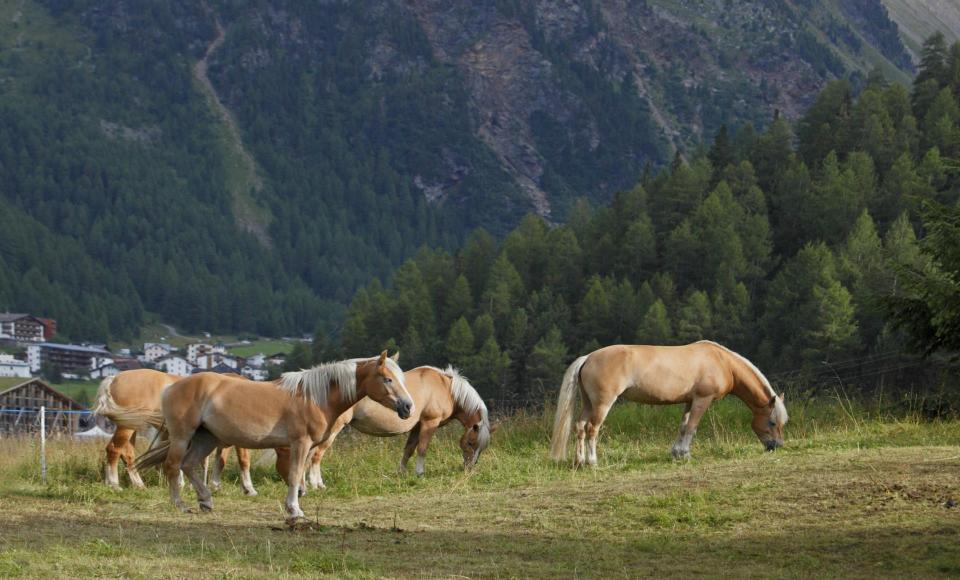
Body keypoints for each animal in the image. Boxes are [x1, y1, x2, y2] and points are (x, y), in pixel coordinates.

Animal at [93, 370, 258, 496]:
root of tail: (114, 378)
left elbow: (215, 461)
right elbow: (242, 460)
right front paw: (249, 489)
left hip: (132, 424)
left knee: (127, 454)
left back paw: (137, 485)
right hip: (126, 426)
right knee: (114, 449)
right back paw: (114, 484)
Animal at [137, 348, 410, 520]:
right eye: (387, 379)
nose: (407, 406)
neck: (313, 397)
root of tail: (172, 386)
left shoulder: (307, 447)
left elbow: (299, 474)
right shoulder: (300, 443)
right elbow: (295, 474)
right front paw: (295, 510)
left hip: (207, 438)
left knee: (189, 465)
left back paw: (206, 501)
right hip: (183, 436)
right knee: (173, 466)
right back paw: (181, 505)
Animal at [274, 364, 492, 488]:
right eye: (471, 443)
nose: (468, 468)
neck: (445, 387)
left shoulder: (416, 426)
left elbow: (408, 450)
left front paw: (401, 472)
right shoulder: (429, 423)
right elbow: (422, 449)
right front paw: (419, 473)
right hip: (332, 431)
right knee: (316, 455)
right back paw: (316, 483)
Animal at [548, 340, 788, 466]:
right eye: (772, 423)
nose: (776, 446)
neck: (722, 362)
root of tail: (588, 357)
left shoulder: (689, 401)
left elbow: (683, 427)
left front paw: (677, 452)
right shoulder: (702, 400)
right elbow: (692, 428)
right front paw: (685, 454)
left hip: (588, 403)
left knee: (579, 427)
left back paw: (579, 461)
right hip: (602, 404)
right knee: (591, 429)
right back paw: (592, 462)